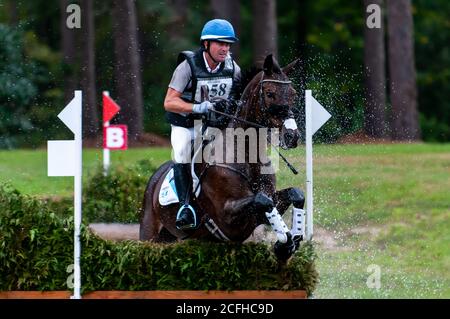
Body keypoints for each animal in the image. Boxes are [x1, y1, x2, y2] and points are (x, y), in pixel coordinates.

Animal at [139, 54, 304, 260]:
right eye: (270, 94)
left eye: (293, 94)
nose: (292, 136)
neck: (247, 157)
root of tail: (155, 178)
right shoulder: (227, 214)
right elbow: (263, 201)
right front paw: (285, 242)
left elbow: (295, 194)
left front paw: (291, 240)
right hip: (150, 234)